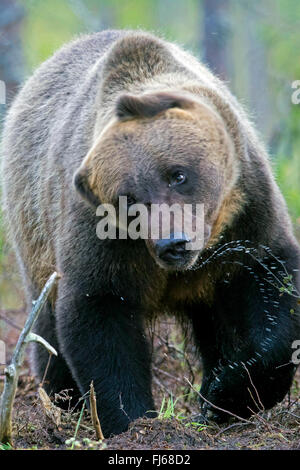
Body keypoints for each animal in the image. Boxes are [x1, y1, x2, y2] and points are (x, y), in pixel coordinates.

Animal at [1, 30, 298, 436]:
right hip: (34, 233)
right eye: (129, 201)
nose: (173, 243)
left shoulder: (248, 210)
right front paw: (135, 421)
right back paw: (62, 405)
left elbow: (273, 286)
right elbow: (97, 316)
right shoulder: (100, 238)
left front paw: (226, 393)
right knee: (45, 327)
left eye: (178, 174)